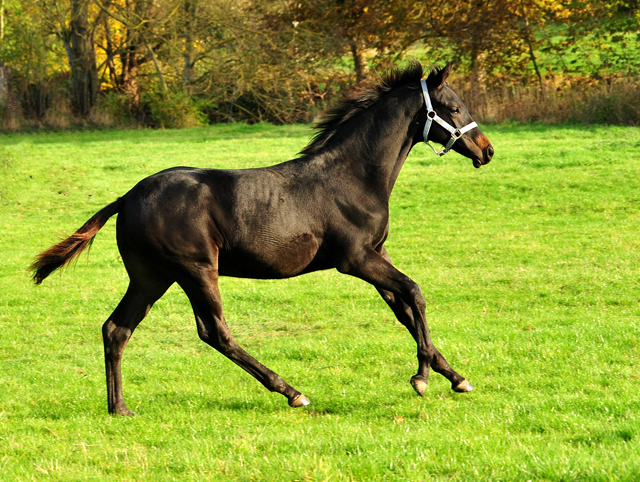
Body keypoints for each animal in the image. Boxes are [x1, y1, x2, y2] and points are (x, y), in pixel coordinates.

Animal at [31, 60, 496, 414]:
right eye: (454, 106)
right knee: (214, 331)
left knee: (116, 329)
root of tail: (127, 197)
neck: (353, 176)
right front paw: (421, 378)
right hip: (196, 270)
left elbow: (404, 309)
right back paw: (292, 392)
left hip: (151, 276)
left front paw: (455, 376)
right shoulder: (357, 259)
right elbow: (415, 293)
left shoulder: (376, 255)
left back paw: (120, 407)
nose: (487, 150)